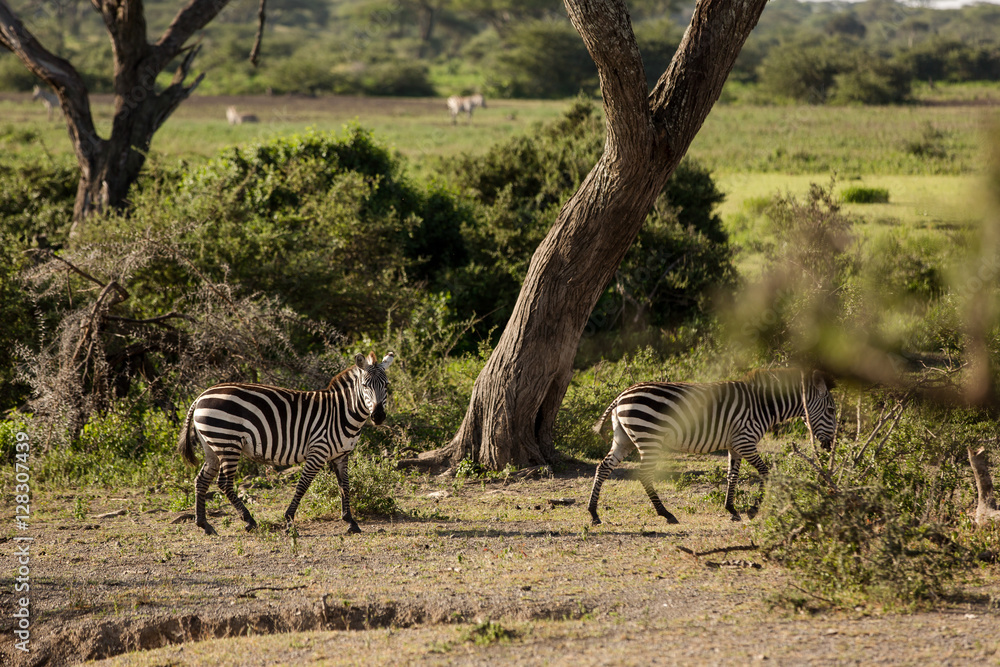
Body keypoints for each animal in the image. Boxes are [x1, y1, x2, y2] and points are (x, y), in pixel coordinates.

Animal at [177, 351, 394, 536]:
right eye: (365, 386)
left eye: (386, 386)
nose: (378, 416)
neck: (341, 413)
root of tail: (201, 396)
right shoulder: (318, 451)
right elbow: (303, 485)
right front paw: (289, 521)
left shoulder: (341, 454)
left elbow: (345, 486)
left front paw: (350, 521)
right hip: (228, 443)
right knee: (224, 482)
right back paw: (249, 521)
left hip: (212, 446)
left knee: (202, 479)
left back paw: (204, 524)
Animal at [587, 368, 837, 526]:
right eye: (832, 411)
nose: (830, 445)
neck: (764, 405)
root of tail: (621, 395)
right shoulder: (745, 441)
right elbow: (766, 473)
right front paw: (753, 510)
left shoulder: (735, 444)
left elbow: (732, 476)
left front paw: (732, 510)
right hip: (648, 437)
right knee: (644, 474)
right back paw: (666, 514)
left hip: (624, 439)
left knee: (603, 467)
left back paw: (594, 513)